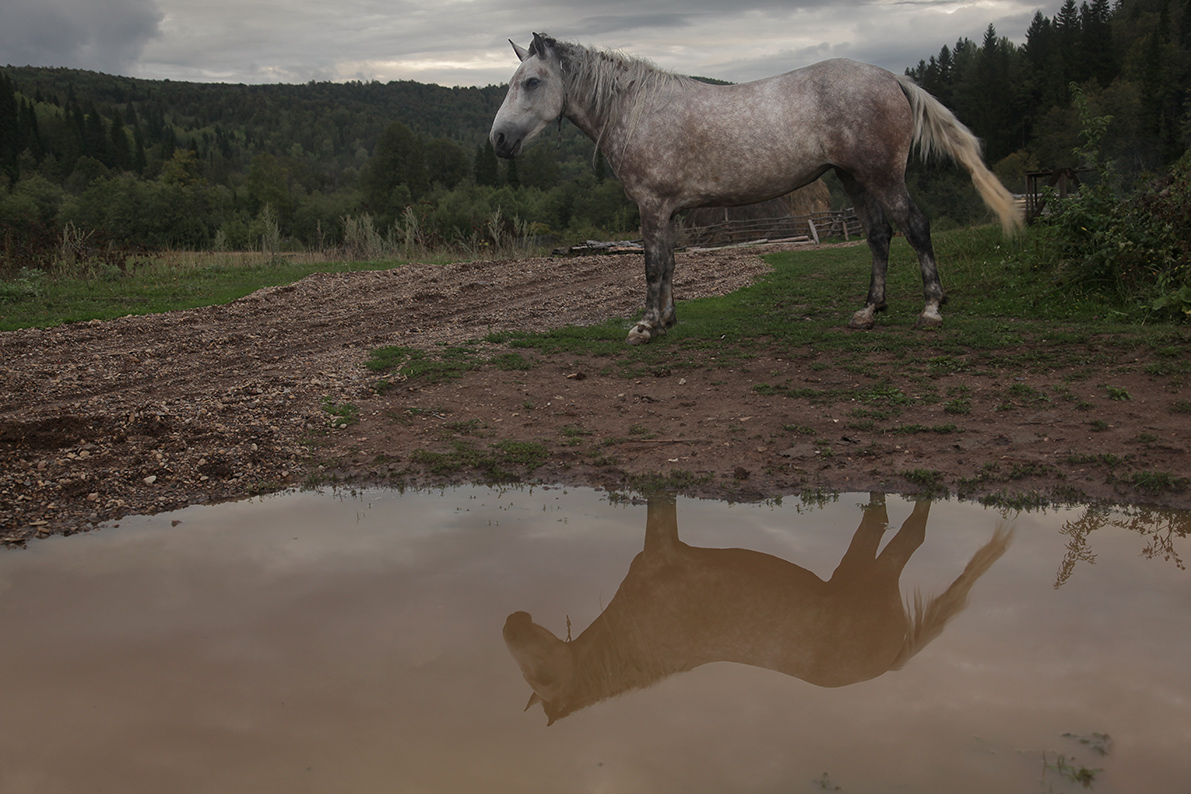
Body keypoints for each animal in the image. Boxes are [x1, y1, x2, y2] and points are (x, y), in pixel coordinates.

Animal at [493, 34, 1024, 342]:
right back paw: (868, 311)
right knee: (878, 236)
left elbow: (651, 266)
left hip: (883, 176)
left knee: (914, 226)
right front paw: (666, 321)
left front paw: (644, 326)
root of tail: (888, 75)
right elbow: (670, 264)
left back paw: (932, 308)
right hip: (853, 178)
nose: (497, 140)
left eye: (533, 81)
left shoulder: (651, 205)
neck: (639, 109)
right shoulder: (669, 210)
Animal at [504, 497, 1014, 728]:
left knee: (911, 535)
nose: (511, 623)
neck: (635, 639)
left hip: (875, 577)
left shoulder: (661, 547)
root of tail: (892, 661)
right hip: (854, 572)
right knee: (879, 521)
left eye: (543, 677)